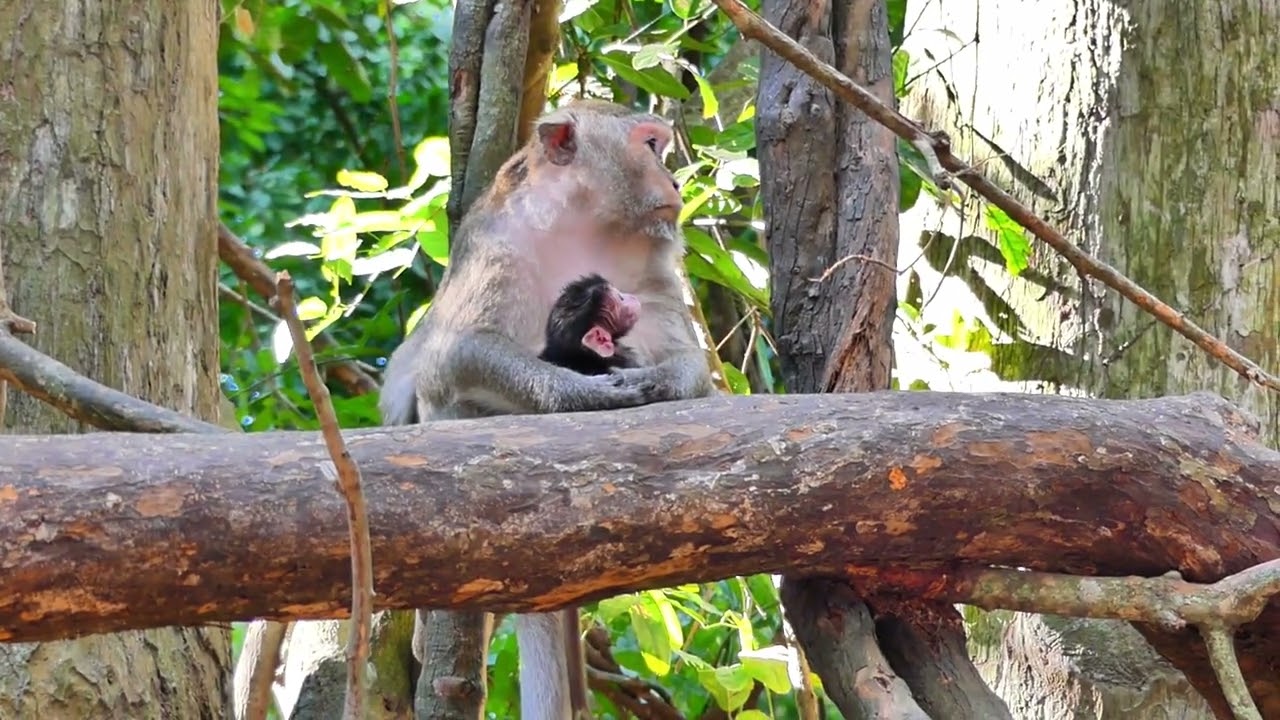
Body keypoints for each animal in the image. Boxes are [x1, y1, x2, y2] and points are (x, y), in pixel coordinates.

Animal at [379, 99, 716, 720]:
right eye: (650, 146)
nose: (675, 181)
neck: (581, 221)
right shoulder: (496, 244)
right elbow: (454, 356)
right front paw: (582, 394)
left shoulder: (652, 260)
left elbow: (689, 368)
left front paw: (658, 379)